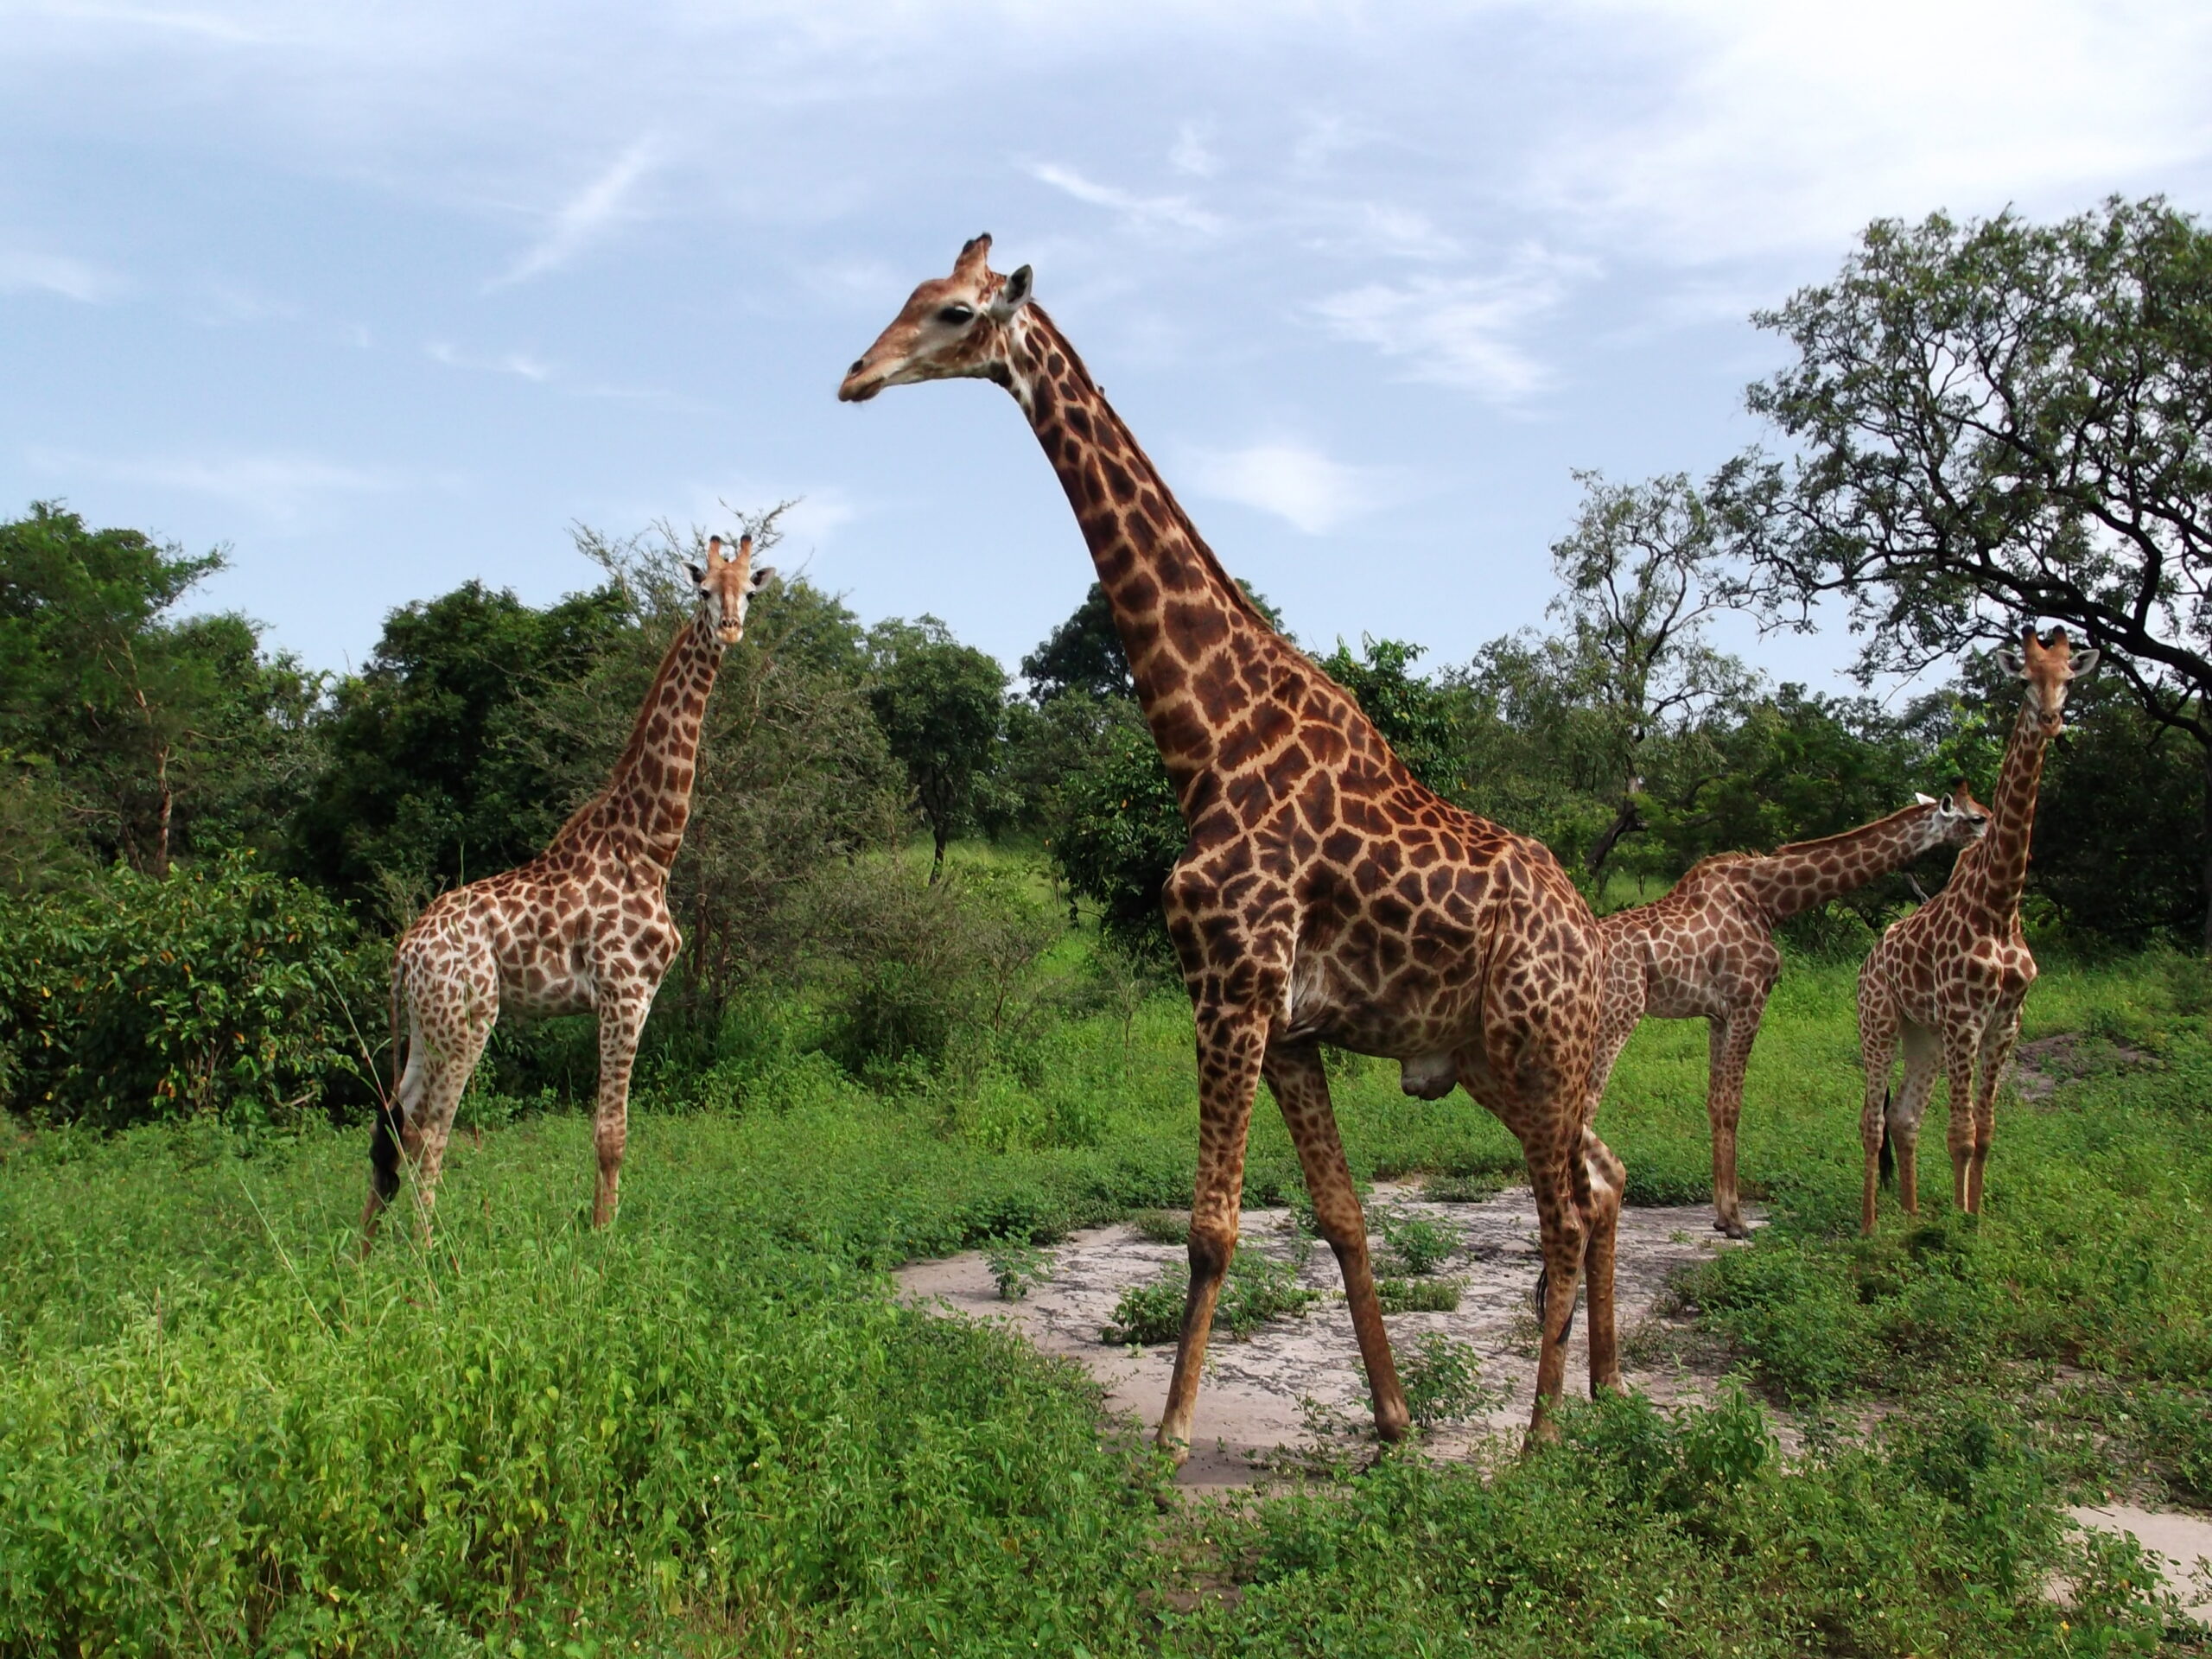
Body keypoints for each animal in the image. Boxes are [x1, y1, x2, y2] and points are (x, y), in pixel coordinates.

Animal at [361, 535, 771, 1244]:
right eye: (701, 590)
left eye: (749, 589)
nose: (730, 629)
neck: (651, 847)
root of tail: (404, 954)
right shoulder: (624, 993)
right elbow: (611, 1134)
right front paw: (603, 1243)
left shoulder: (632, 998)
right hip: (468, 1018)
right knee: (431, 1132)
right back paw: (429, 1254)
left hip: (426, 1021)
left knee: (393, 1121)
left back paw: (360, 1253)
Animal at [840, 235, 1615, 1454]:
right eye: (909, 297)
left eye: (955, 313)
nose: (855, 376)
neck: (1206, 740)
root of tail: (1596, 942)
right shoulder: (1288, 1026)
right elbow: (1342, 1216)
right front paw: (1394, 1421)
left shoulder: (1229, 985)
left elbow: (1212, 1227)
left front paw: (1166, 1441)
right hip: (1502, 1060)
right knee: (1596, 1187)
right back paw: (1594, 1402)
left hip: (1542, 1049)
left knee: (1568, 1217)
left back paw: (1541, 1442)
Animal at [1561, 786, 1990, 1240]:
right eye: (1977, 818)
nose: (1992, 836)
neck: (1770, 899)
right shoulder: (1749, 1000)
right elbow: (1732, 1104)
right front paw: (1736, 1220)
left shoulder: (1718, 1015)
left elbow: (1714, 1102)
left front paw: (1721, 1215)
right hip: (1618, 1016)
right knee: (1583, 1108)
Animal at [1857, 627, 2097, 1235]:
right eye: (2024, 678)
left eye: (2068, 677)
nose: (2051, 718)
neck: (2000, 902)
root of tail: (1867, 962)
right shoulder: (1966, 1018)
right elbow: (1961, 1135)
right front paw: (1960, 1231)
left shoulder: (2005, 1021)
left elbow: (1985, 1134)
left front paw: (1975, 1221)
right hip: (1880, 1022)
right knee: (1872, 1121)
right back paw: (1870, 1229)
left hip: (1925, 1035)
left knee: (1904, 1116)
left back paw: (1911, 1217)